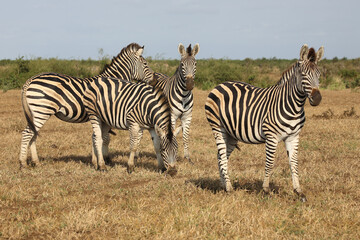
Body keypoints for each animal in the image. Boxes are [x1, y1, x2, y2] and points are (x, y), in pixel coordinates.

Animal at [19, 42, 153, 169]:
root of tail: (30, 80)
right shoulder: (106, 114)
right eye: (145, 64)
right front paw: (104, 160)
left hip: (36, 112)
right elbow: (104, 138)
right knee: (27, 134)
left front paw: (95, 161)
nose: (153, 80)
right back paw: (23, 163)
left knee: (33, 135)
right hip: (41, 110)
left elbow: (95, 137)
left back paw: (36, 162)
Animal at [204, 44, 324, 202]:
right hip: (218, 127)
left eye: (319, 74)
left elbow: (294, 163)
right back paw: (229, 188)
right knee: (222, 156)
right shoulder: (271, 136)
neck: (294, 106)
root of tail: (220, 84)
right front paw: (266, 190)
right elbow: (270, 163)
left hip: (231, 133)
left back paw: (223, 185)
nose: (317, 99)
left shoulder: (293, 137)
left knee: (220, 156)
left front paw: (299, 192)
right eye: (303, 74)